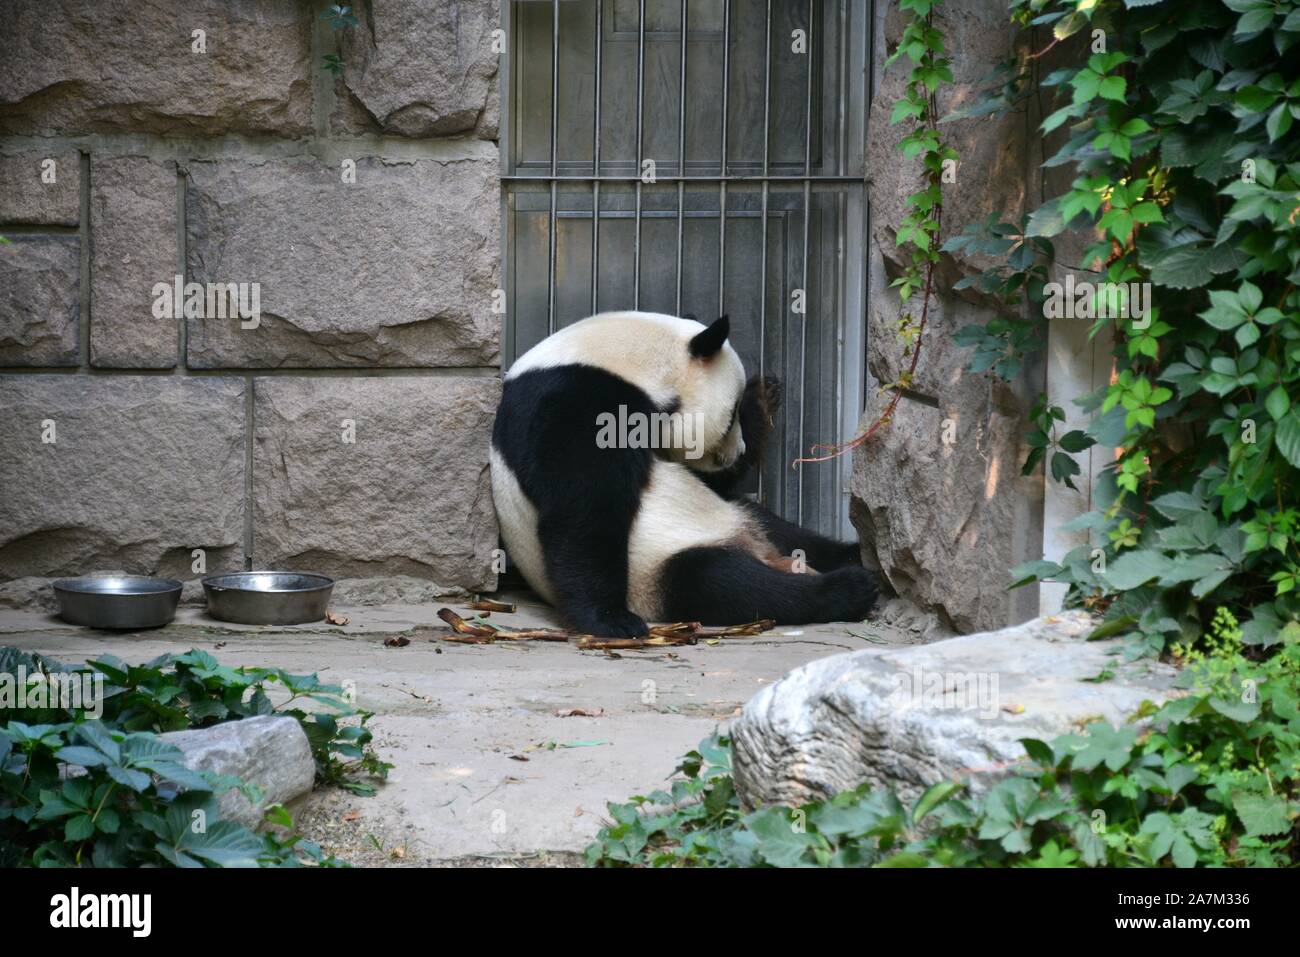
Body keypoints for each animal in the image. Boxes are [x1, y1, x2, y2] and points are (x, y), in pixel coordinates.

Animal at [488, 312, 883, 634]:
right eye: (728, 420)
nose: (738, 453)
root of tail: (759, 552)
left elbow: (711, 480)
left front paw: (762, 397)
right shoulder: (573, 402)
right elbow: (584, 508)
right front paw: (609, 620)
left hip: (741, 518)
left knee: (781, 529)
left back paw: (853, 556)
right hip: (652, 573)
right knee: (723, 583)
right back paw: (849, 589)